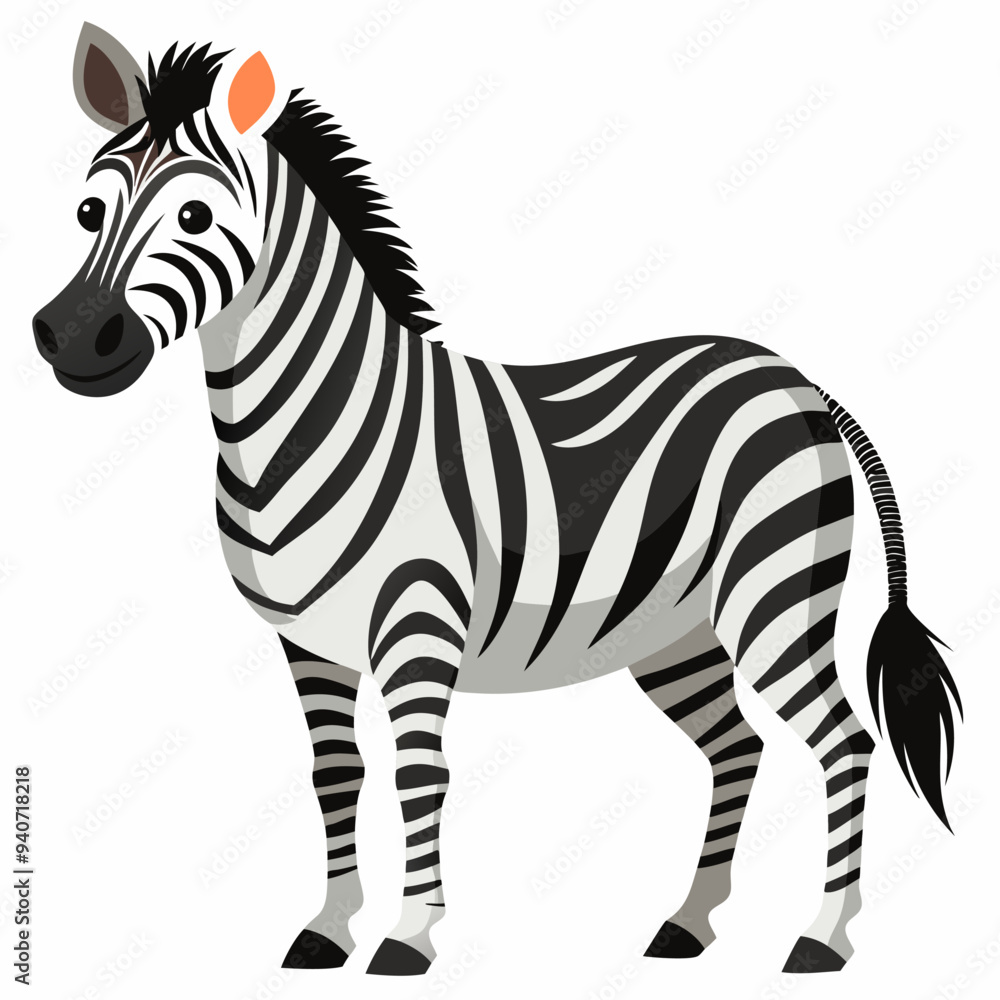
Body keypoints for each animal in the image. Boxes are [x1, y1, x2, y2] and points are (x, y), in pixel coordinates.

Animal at [33, 23, 963, 977]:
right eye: (87, 212)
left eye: (194, 217)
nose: (69, 337)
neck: (300, 426)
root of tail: (798, 379)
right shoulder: (308, 643)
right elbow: (337, 775)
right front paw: (328, 930)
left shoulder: (417, 621)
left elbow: (419, 773)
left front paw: (407, 937)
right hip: (675, 631)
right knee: (737, 744)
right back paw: (688, 924)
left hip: (774, 598)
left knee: (842, 742)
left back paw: (822, 937)